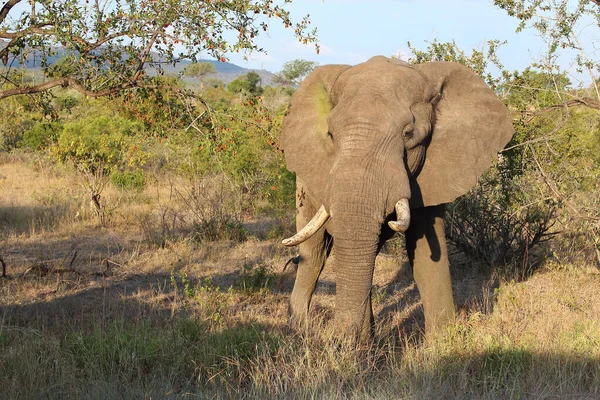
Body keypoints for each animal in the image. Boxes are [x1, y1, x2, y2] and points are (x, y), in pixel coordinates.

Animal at [278, 54, 512, 340]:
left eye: (408, 133)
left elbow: (427, 255)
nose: (339, 338)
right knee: (314, 253)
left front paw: (441, 343)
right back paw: (299, 330)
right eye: (331, 135)